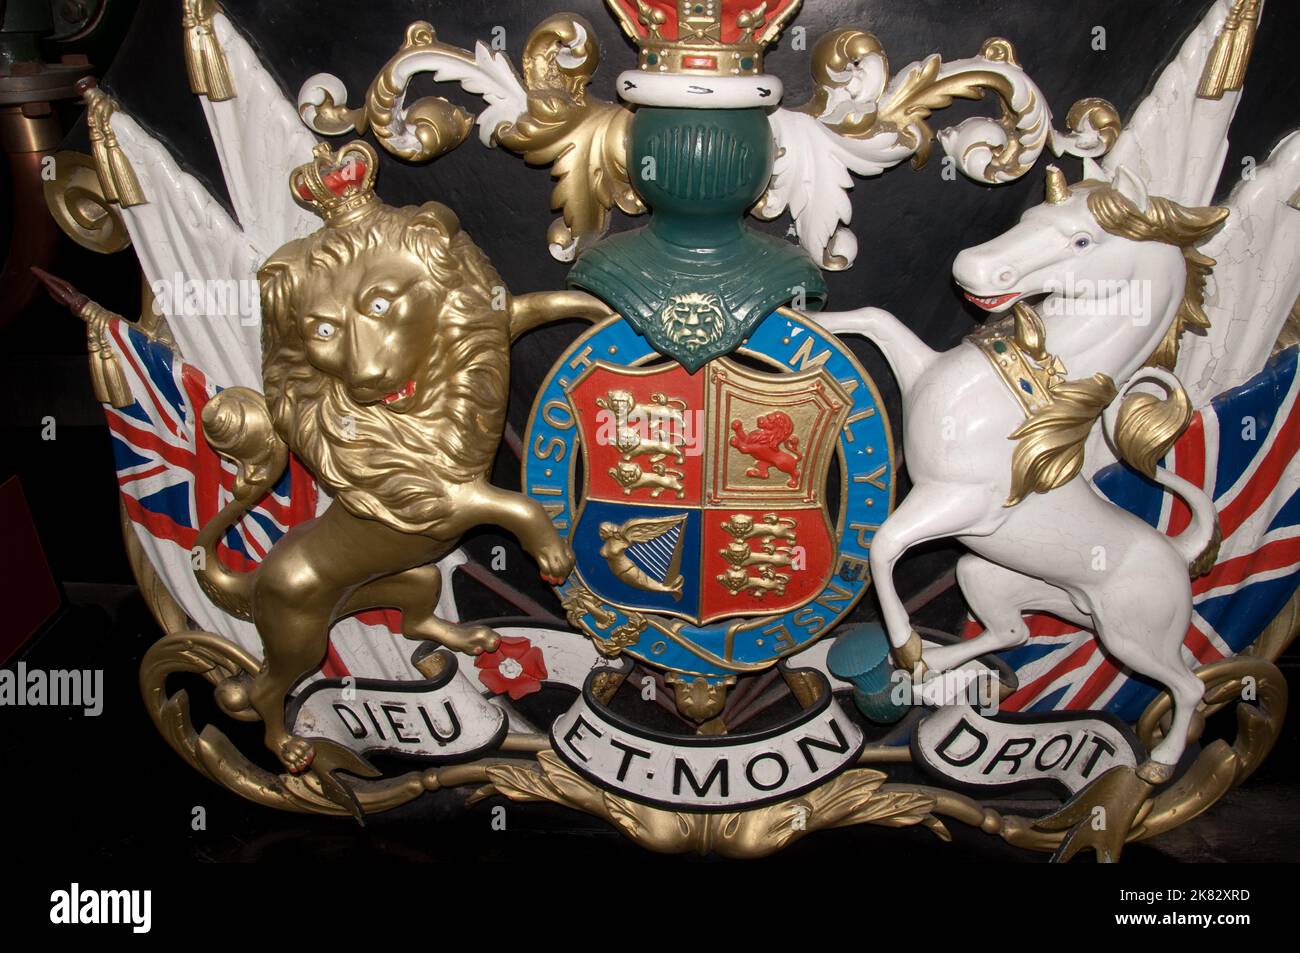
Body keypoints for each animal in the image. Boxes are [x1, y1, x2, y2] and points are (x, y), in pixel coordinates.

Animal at [189, 143, 608, 811]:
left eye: (381, 303)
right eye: (322, 330)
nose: (366, 382)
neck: (432, 386)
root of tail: (256, 581)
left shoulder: (496, 329)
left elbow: (542, 304)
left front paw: (602, 312)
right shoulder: (447, 494)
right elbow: (516, 506)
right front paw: (553, 556)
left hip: (411, 578)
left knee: (413, 623)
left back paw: (473, 642)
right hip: (299, 634)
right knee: (258, 692)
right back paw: (291, 750)